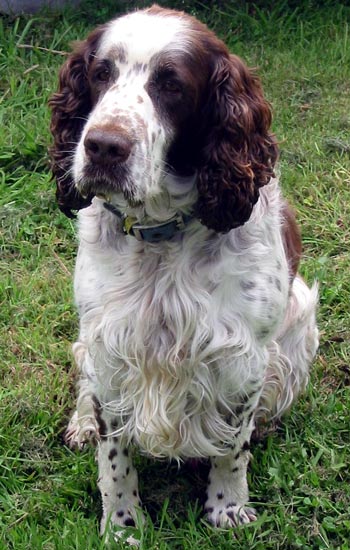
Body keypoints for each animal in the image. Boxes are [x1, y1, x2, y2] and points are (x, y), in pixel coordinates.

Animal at [50, 3, 320, 540]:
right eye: (100, 73)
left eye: (171, 84)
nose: (102, 147)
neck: (162, 234)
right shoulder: (110, 346)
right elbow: (114, 455)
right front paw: (121, 525)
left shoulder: (242, 356)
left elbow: (233, 446)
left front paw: (228, 508)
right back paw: (81, 424)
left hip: (301, 317)